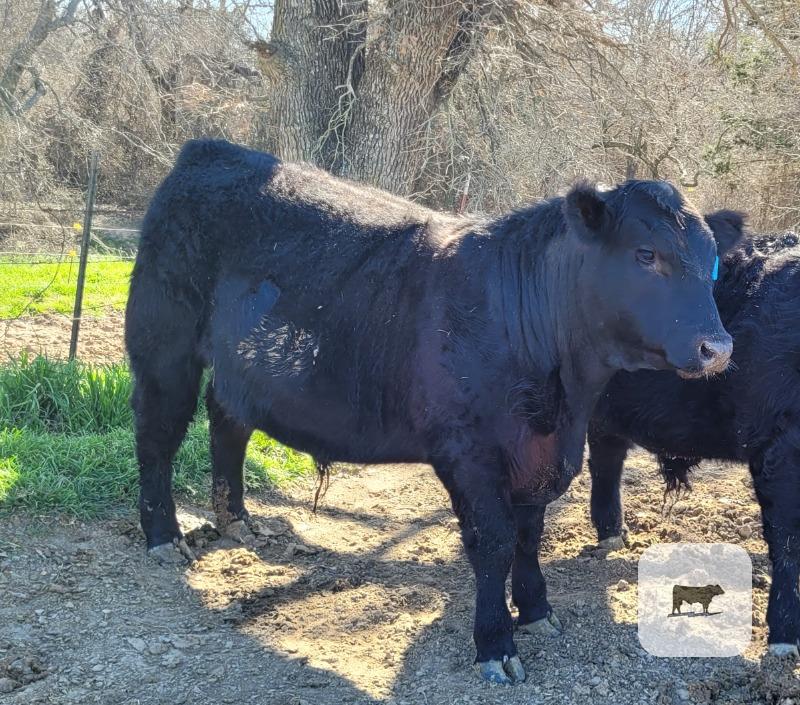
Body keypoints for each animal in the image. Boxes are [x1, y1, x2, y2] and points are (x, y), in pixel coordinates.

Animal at [125, 139, 731, 684]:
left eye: (713, 265)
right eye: (646, 254)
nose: (717, 347)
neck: (562, 394)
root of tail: (212, 150)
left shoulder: (541, 456)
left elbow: (529, 535)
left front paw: (537, 612)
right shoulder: (469, 454)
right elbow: (493, 542)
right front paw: (496, 643)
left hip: (240, 372)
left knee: (227, 423)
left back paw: (237, 521)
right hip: (163, 348)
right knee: (157, 436)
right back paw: (164, 537)